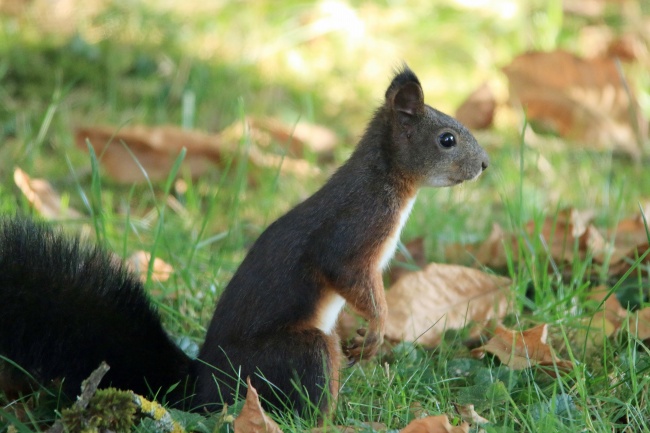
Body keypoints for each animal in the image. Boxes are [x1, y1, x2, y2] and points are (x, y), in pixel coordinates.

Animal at [0, 66, 486, 420]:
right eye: (447, 140)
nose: (484, 164)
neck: (387, 179)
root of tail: (201, 388)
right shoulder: (355, 229)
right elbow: (344, 272)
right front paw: (378, 329)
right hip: (294, 354)